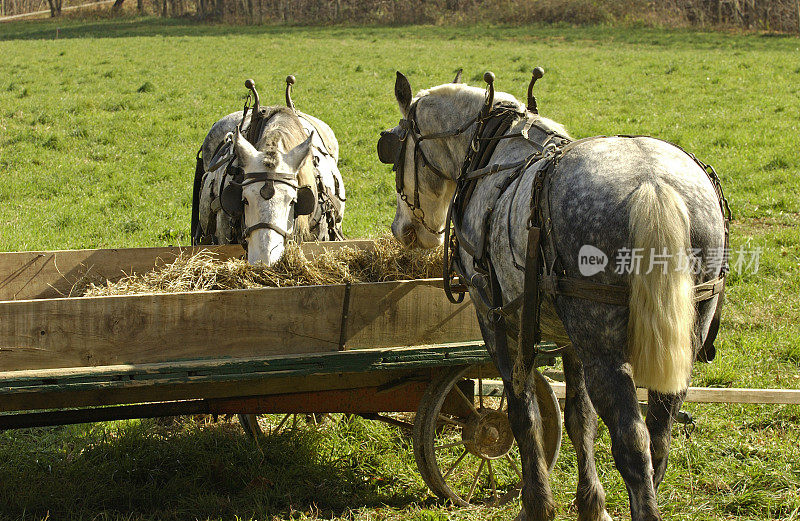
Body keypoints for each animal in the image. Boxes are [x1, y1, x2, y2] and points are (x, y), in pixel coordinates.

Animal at [378, 70, 728, 520]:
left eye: (398, 147)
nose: (404, 230)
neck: (489, 154)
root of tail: (653, 183)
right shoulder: (569, 339)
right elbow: (580, 419)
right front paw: (591, 504)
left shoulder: (498, 322)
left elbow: (522, 411)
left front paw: (536, 504)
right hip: (681, 337)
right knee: (658, 439)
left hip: (603, 349)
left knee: (632, 444)